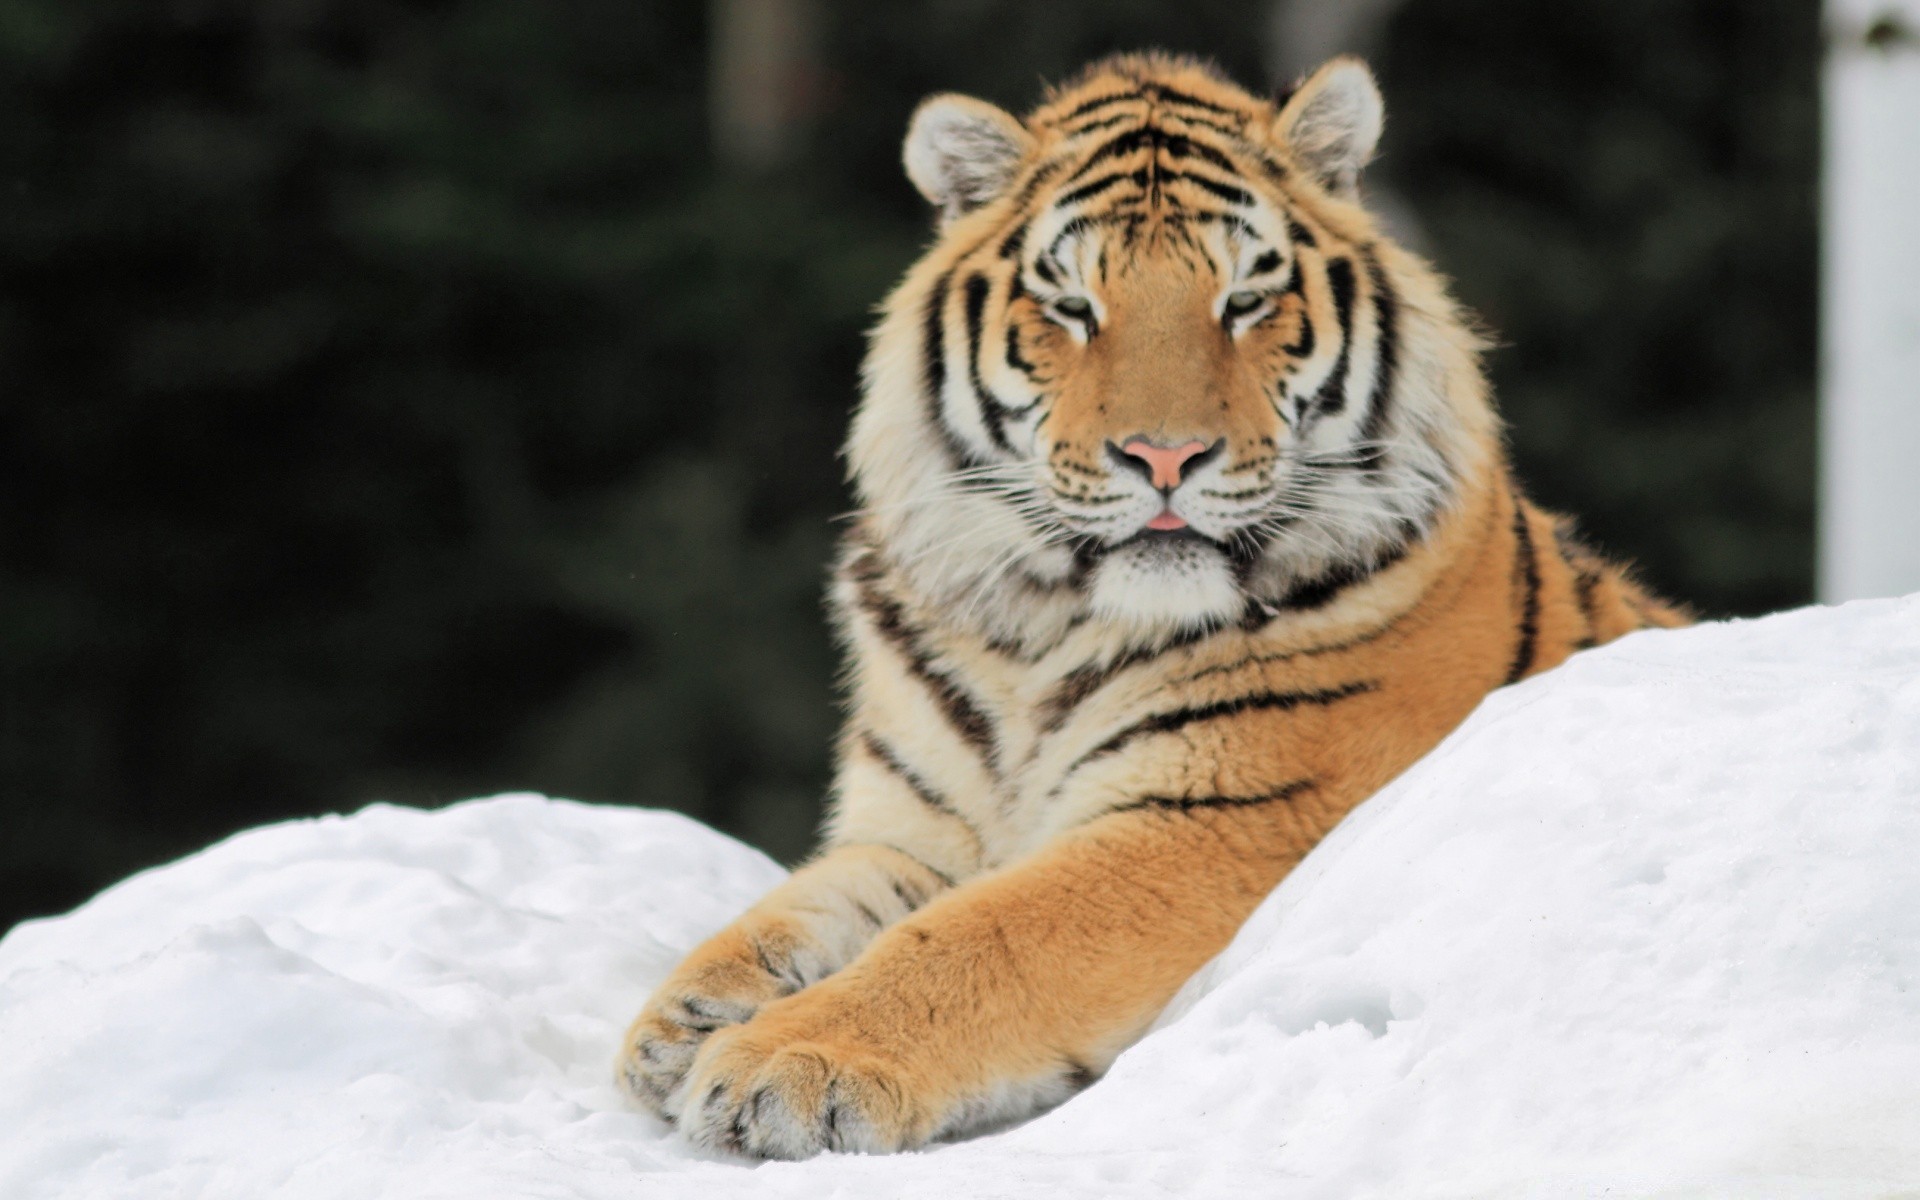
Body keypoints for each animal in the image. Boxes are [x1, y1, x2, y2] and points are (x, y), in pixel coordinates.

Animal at [614, 51, 1681, 1159]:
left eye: (1246, 300)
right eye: (1074, 307)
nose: (1164, 457)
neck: (1033, 633)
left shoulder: (1213, 820)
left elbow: (979, 935)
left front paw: (786, 1064)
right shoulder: (918, 826)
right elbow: (810, 901)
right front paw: (686, 1015)